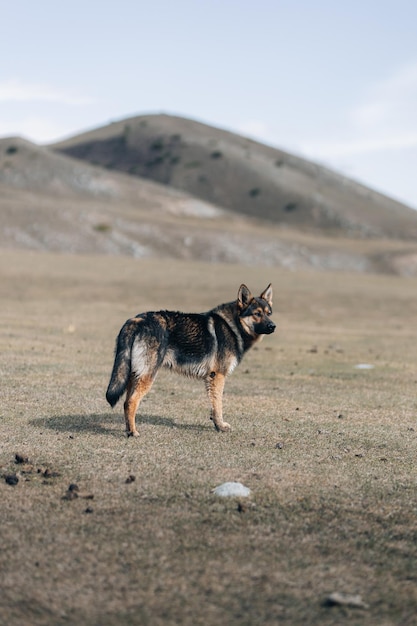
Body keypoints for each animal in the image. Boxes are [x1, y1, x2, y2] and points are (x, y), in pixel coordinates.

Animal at [105, 282, 274, 434]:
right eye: (257, 313)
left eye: (268, 313)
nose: (273, 326)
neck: (233, 326)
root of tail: (135, 320)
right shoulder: (218, 376)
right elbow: (218, 405)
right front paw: (221, 426)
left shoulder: (211, 379)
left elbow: (213, 406)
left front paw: (216, 425)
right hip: (147, 376)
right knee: (131, 402)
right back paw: (133, 432)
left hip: (133, 375)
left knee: (126, 402)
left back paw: (128, 430)